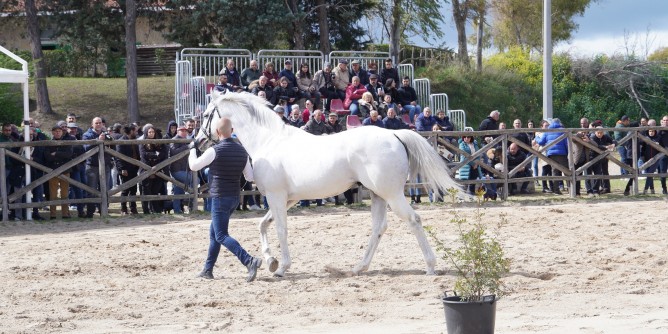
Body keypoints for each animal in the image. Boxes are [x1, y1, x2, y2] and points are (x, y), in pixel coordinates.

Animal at [196, 89, 462, 276]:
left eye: (207, 115)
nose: (198, 142)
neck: (269, 140)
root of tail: (394, 134)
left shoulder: (276, 196)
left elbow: (280, 229)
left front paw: (281, 268)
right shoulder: (286, 199)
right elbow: (263, 225)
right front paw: (270, 261)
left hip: (392, 195)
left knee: (413, 220)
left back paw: (430, 266)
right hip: (378, 194)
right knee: (379, 228)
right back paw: (359, 267)